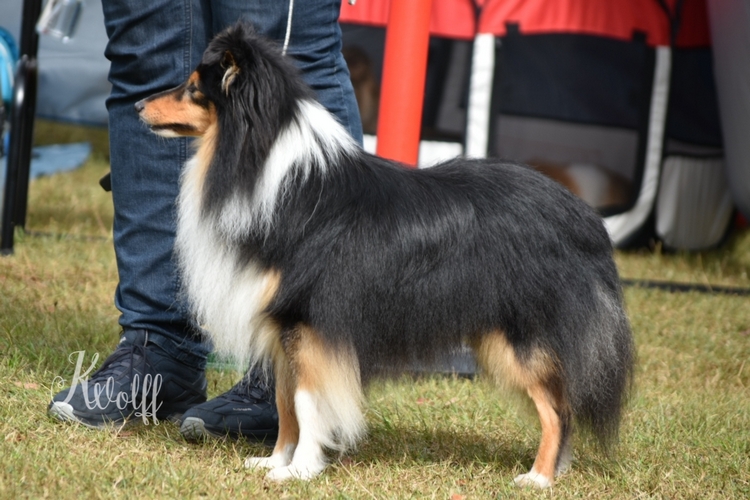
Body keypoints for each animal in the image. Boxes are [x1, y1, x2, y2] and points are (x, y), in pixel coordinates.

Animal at [135, 23, 636, 488]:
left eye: (194, 89)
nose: (138, 106)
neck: (263, 165)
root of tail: (584, 216)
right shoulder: (287, 330)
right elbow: (284, 402)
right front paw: (275, 461)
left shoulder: (311, 323)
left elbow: (306, 402)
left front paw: (300, 471)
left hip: (521, 340)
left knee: (559, 409)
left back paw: (539, 478)